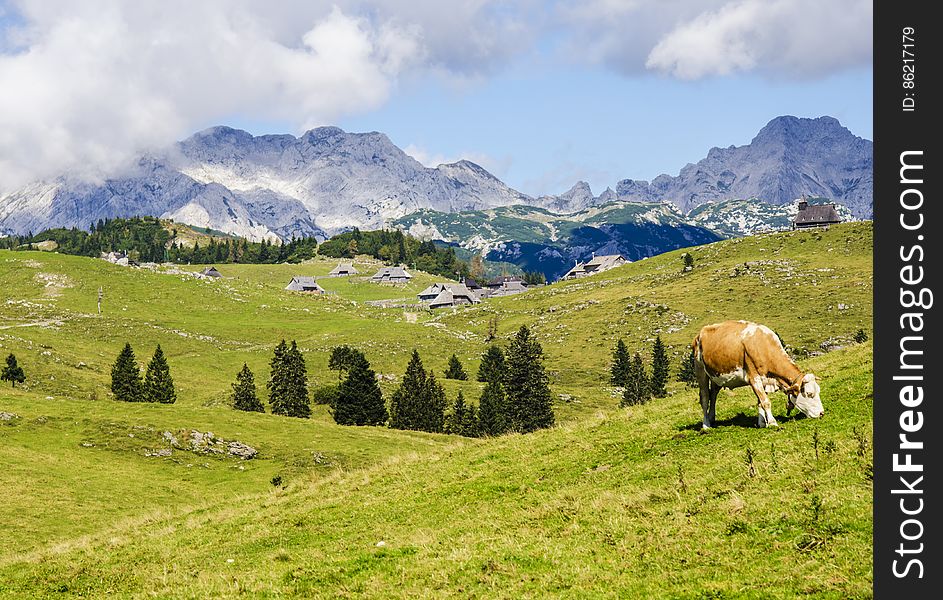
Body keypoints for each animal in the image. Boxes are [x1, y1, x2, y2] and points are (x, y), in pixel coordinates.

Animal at [688, 322, 824, 428]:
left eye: (818, 391)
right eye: (809, 394)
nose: (822, 413)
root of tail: (700, 333)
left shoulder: (765, 380)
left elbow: (760, 402)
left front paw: (762, 423)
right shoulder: (754, 378)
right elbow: (765, 401)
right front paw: (773, 423)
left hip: (716, 376)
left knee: (713, 395)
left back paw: (712, 418)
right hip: (700, 370)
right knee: (705, 397)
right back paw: (706, 424)